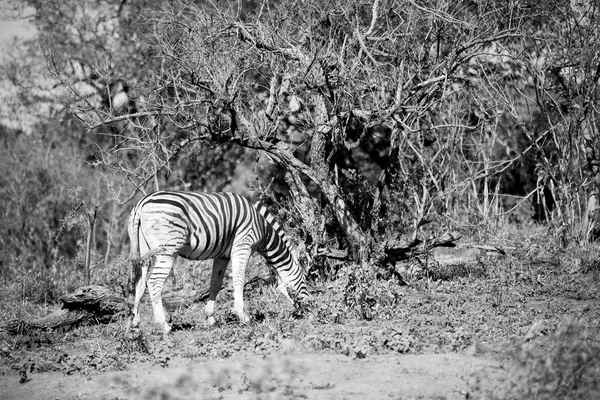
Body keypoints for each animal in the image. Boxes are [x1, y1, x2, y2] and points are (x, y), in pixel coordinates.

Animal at [125, 191, 308, 334]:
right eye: (304, 279)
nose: (308, 307)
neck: (263, 230)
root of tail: (141, 203)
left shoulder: (223, 256)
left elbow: (215, 283)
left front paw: (210, 317)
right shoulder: (243, 246)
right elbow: (238, 280)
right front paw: (243, 316)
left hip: (144, 250)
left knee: (140, 282)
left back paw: (135, 324)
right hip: (167, 251)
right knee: (154, 282)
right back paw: (164, 326)